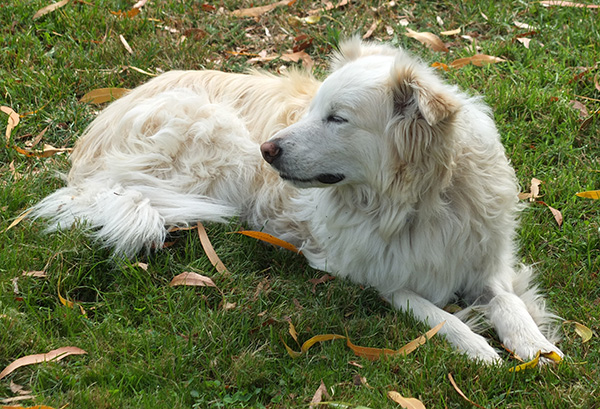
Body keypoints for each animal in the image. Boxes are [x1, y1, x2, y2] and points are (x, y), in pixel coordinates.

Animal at [31, 38, 564, 362]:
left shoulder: (483, 262)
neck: (416, 201)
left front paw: (534, 346)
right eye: (312, 110)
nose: (267, 150)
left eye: (337, 118)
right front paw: (478, 347)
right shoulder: (372, 276)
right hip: (213, 133)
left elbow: (507, 302)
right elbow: (435, 315)